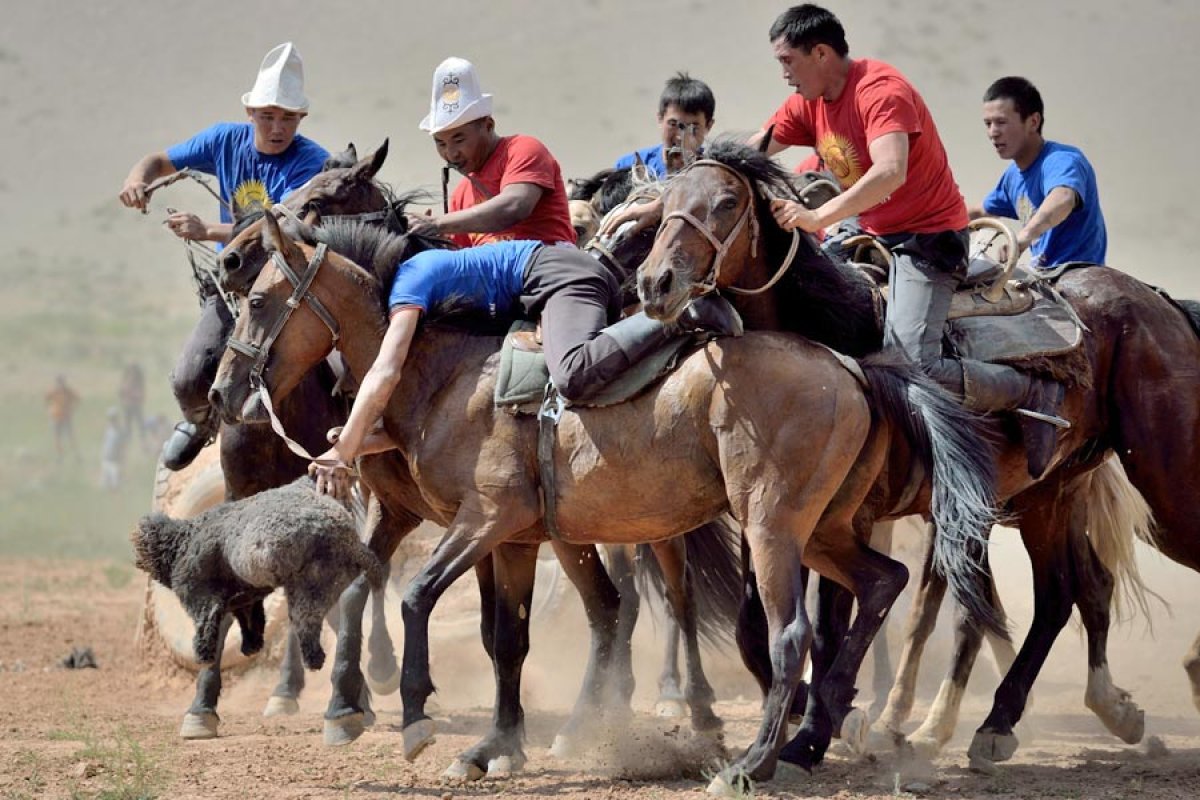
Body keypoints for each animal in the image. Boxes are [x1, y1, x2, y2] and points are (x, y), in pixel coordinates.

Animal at [208, 209, 1003, 791]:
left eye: (256, 300)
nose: (220, 392)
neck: (447, 375)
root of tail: (849, 365)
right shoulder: (514, 539)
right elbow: (506, 640)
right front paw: (493, 746)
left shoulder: (484, 520)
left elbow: (416, 598)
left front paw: (415, 722)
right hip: (822, 530)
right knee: (883, 582)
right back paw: (812, 735)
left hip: (773, 528)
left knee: (789, 635)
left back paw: (752, 763)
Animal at [628, 140, 1200, 772]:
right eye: (664, 205)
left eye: (727, 202)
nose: (655, 282)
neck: (836, 334)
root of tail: (1158, 301)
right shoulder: (779, 519)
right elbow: (755, 628)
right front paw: (821, 720)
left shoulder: (844, 519)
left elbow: (829, 625)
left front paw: (820, 730)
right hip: (1048, 493)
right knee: (1062, 593)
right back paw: (1010, 721)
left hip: (1164, 486)